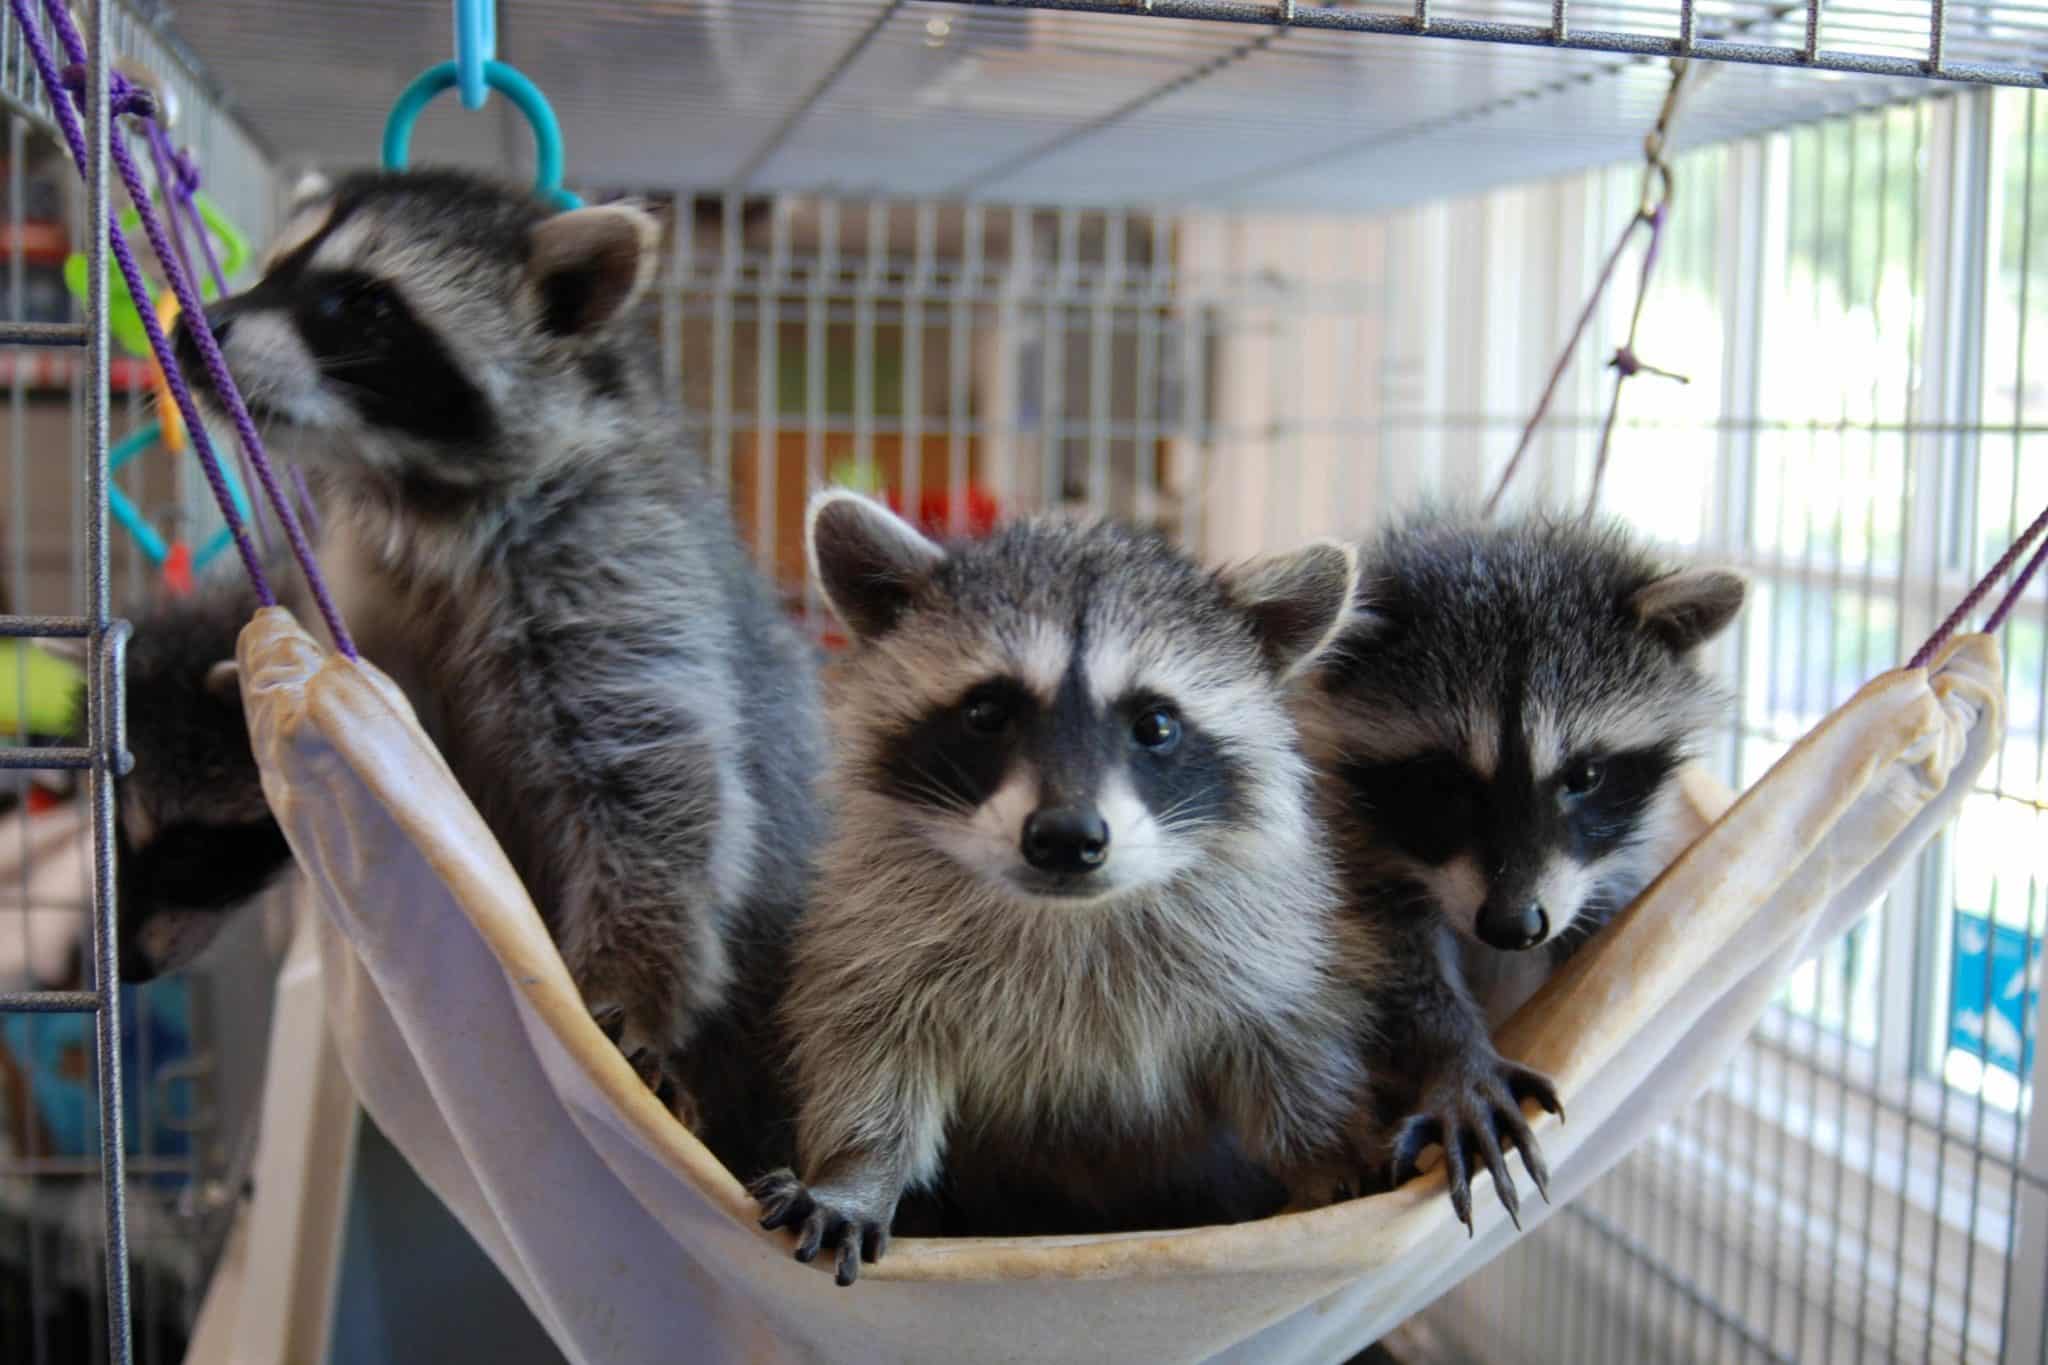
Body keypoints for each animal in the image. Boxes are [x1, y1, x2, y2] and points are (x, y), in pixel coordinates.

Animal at [163, 169, 828, 1158]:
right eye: (274, 269)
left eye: (362, 304)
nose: (188, 331)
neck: (417, 493)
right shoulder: (373, 590)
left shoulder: (624, 565)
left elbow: (656, 784)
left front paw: (633, 981)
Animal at [752, 491, 1380, 1285]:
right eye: (987, 711)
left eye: (1156, 724)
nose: (1065, 837)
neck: (1064, 913)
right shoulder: (877, 933)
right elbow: (867, 1043)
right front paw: (855, 1169)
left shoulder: (1264, 943)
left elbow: (1294, 1038)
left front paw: (1321, 1153)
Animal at [1305, 512, 1744, 1226]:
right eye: (1445, 785)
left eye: (1585, 777)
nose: (1513, 926)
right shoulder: (1347, 843)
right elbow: (1386, 957)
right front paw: (1454, 1050)